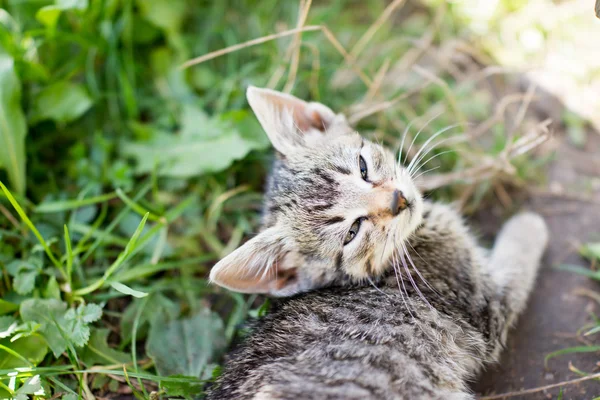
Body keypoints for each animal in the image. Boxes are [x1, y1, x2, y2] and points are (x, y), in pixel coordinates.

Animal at [206, 86, 548, 398]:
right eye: (353, 232)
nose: (397, 200)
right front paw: (529, 223)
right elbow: (518, 260)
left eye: (363, 167)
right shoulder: (484, 304)